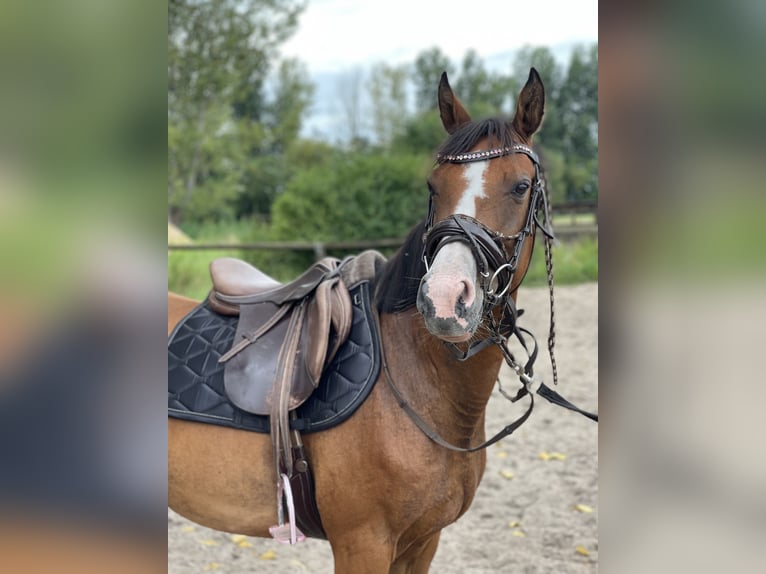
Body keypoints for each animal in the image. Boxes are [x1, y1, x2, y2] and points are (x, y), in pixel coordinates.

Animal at [170, 70, 552, 572]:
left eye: (521, 186)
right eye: (433, 185)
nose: (444, 299)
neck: (412, 382)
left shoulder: (422, 542)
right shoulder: (363, 543)